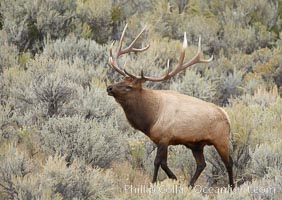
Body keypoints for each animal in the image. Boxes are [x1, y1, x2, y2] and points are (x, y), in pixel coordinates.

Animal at [106, 24, 234, 188]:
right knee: (202, 164)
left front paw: (154, 182)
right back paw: (190, 185)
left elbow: (157, 162)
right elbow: (164, 163)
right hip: (197, 145)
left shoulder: (164, 137)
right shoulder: (161, 140)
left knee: (229, 162)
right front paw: (175, 178)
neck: (150, 119)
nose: (109, 88)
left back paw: (232, 187)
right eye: (121, 79)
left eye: (129, 87)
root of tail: (226, 115)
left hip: (221, 138)